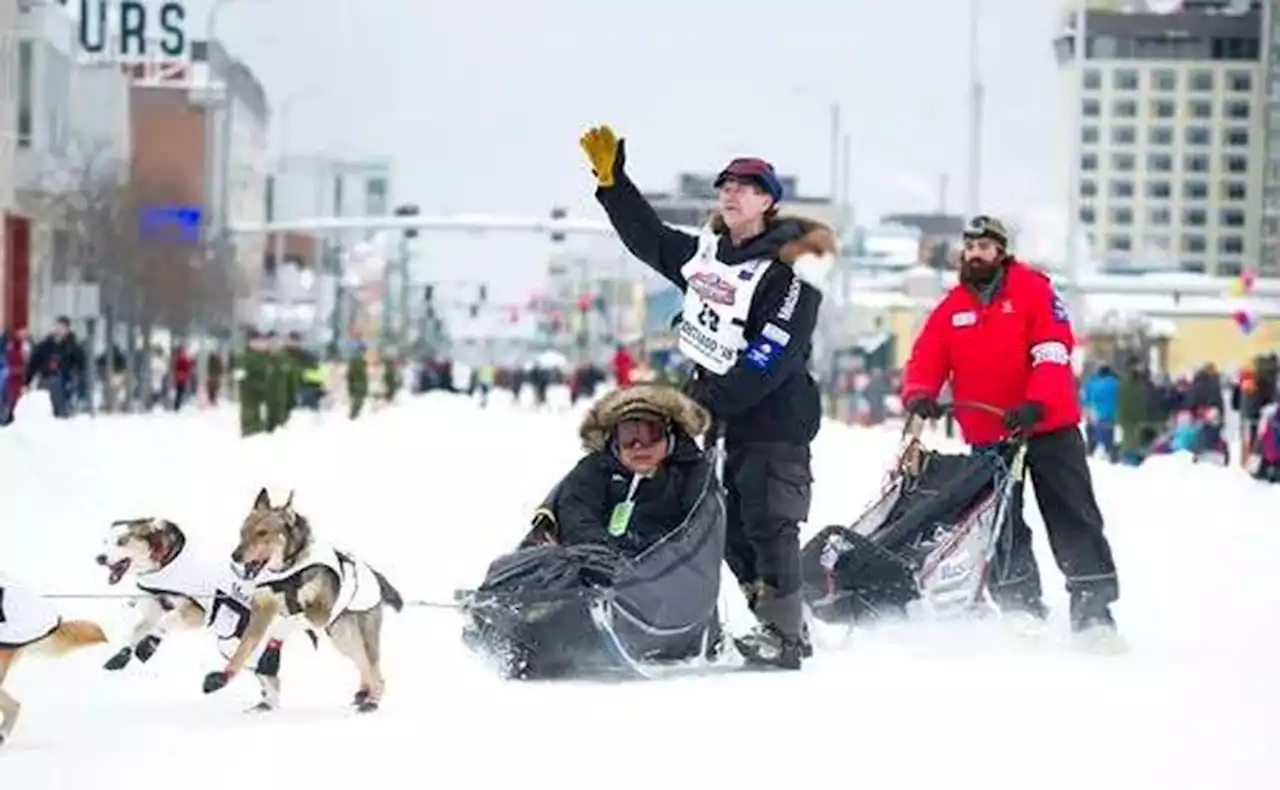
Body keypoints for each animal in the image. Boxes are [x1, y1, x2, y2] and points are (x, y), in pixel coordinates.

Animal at [96, 514, 311, 711]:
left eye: (121, 541)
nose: (99, 558)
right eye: (105, 541)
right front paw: (123, 655)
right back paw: (264, 707)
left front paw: (148, 645)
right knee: (269, 677)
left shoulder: (195, 613)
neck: (167, 561)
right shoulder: (155, 608)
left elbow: (163, 624)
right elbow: (137, 630)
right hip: (233, 647)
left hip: (239, 644)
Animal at [215, 489, 404, 711]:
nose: (235, 556)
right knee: (363, 665)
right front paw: (222, 677)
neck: (289, 569)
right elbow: (244, 648)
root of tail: (375, 576)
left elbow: (287, 622)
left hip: (354, 636)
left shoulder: (320, 613)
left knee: (375, 672)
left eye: (262, 532)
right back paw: (363, 693)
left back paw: (372, 701)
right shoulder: (262, 610)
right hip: (342, 637)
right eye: (242, 532)